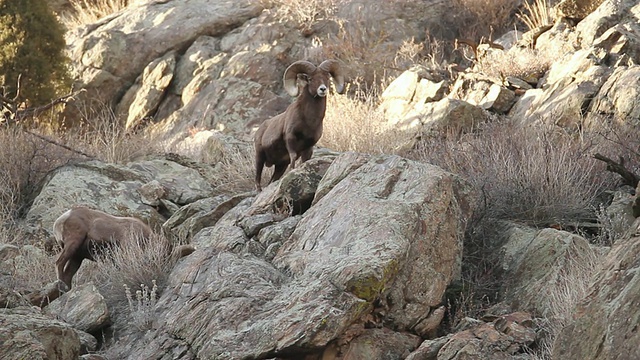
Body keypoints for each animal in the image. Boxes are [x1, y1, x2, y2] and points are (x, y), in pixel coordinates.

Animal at [255, 59, 344, 191]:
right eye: (310, 79)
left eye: (327, 78)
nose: (322, 89)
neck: (309, 121)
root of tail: (260, 129)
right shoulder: (290, 140)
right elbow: (293, 158)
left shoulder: (308, 147)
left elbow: (304, 161)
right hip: (259, 157)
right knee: (257, 177)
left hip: (280, 166)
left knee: (272, 180)